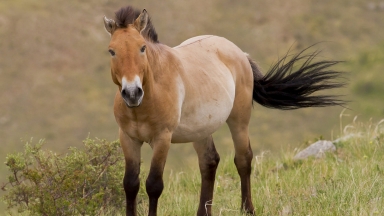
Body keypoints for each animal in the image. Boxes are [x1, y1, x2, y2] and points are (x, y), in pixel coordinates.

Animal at [102, 5, 344, 216]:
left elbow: (153, 184)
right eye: (111, 51)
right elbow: (130, 184)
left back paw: (247, 209)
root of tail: (239, 52)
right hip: (200, 130)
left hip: (239, 119)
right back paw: (204, 213)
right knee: (209, 163)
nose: (132, 93)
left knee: (243, 159)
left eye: (142, 48)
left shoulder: (162, 138)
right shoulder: (128, 138)